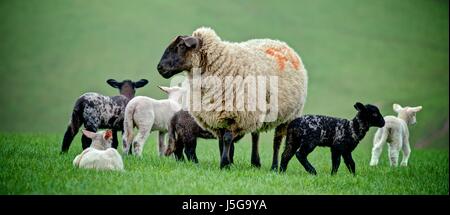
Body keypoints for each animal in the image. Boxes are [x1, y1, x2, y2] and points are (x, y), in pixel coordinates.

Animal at [156, 26, 308, 169]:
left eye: (181, 46)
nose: (159, 68)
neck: (221, 65)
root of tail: (282, 44)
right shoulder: (217, 117)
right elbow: (221, 142)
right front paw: (228, 162)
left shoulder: (234, 115)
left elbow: (227, 139)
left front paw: (225, 163)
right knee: (255, 136)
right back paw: (255, 162)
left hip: (288, 116)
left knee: (277, 142)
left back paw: (274, 166)